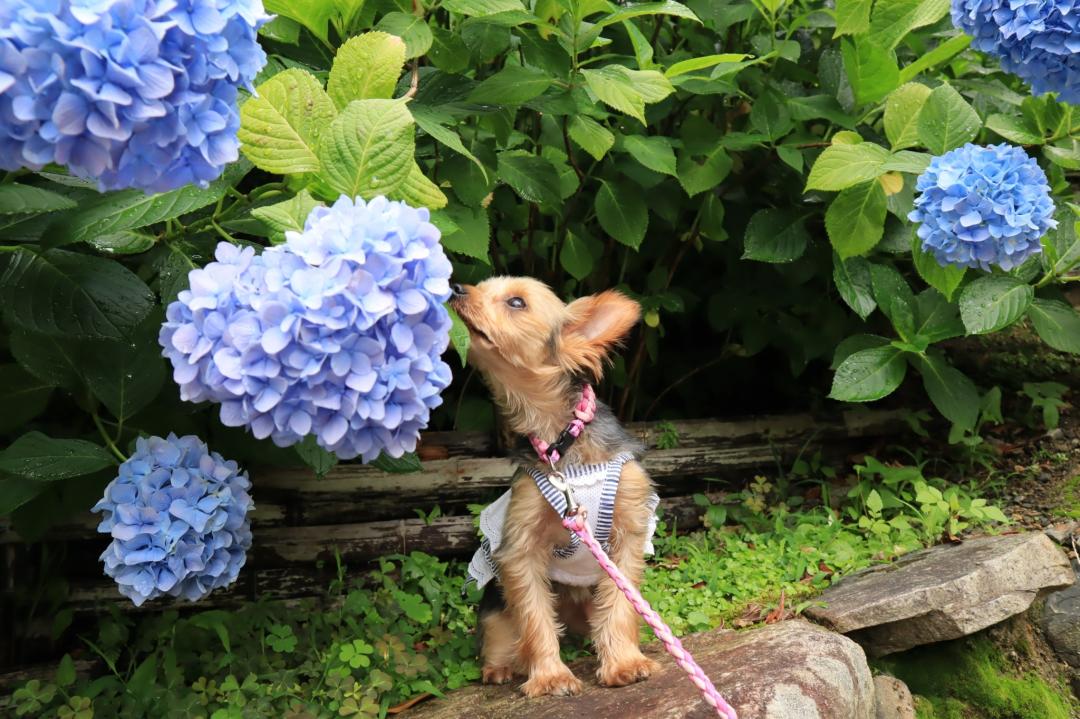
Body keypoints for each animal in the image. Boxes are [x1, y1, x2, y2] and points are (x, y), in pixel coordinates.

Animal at [447, 274, 656, 695]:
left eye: (516, 302)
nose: (456, 288)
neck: (563, 444)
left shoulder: (627, 534)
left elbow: (621, 605)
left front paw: (625, 663)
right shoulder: (520, 547)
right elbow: (534, 616)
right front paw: (549, 676)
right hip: (495, 604)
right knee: (500, 628)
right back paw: (500, 667)